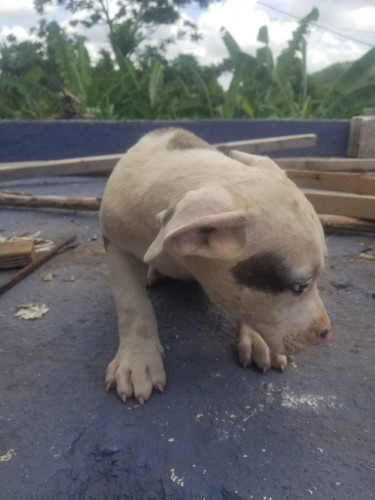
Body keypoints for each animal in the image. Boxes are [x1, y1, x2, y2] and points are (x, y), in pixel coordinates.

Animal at [100, 127, 332, 404]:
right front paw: (137, 362)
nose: (327, 333)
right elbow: (132, 304)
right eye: (299, 287)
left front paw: (256, 339)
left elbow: (247, 304)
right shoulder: (116, 243)